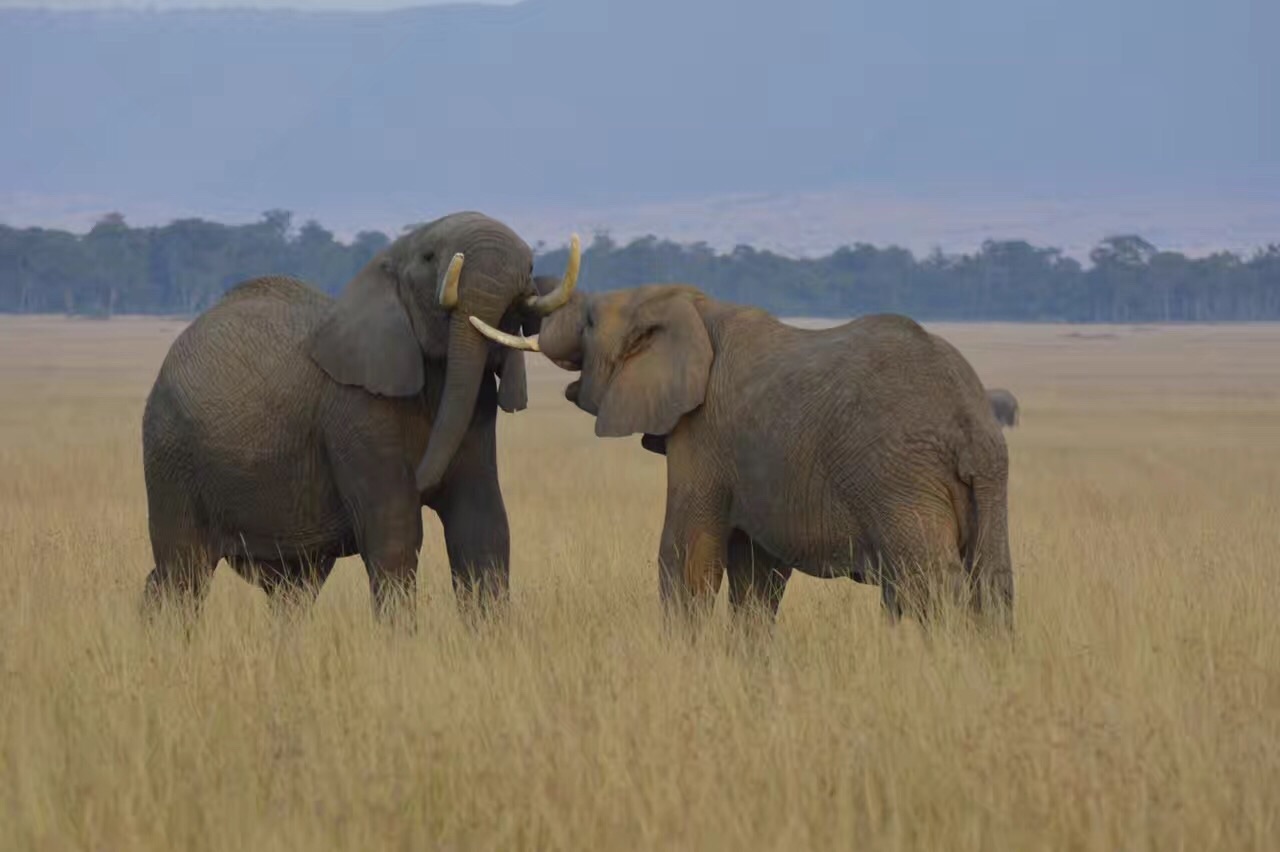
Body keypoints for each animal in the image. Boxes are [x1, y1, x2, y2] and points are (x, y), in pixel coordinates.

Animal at [142, 211, 578, 624]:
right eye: (429, 257)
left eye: (531, 266)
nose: (425, 480)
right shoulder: (354, 409)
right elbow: (394, 528)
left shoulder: (479, 409)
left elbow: (480, 524)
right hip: (169, 453)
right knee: (184, 570)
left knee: (291, 587)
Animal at [476, 285, 1013, 624]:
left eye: (588, 321)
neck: (691, 304)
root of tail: (966, 421)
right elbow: (757, 577)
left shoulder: (703, 434)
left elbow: (687, 556)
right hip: (988, 476)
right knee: (992, 581)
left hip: (897, 478)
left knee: (929, 582)